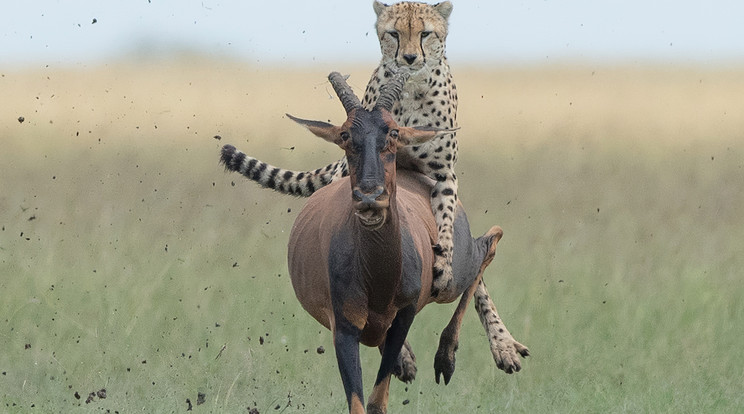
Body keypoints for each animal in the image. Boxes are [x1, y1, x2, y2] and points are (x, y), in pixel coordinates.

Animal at [221, 0, 528, 378]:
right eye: (393, 34)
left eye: (426, 33)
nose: (409, 59)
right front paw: (402, 353)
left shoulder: (443, 177)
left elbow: (446, 235)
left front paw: (443, 269)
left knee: (475, 268)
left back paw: (499, 343)